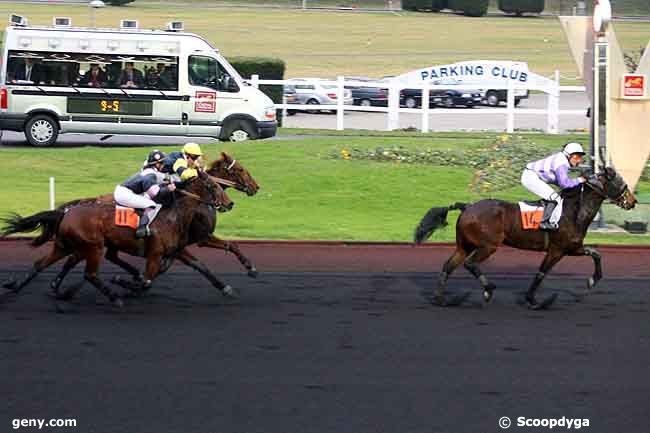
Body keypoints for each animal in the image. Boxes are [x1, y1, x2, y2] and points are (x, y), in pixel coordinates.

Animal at [0, 172, 230, 308]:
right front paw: (122, 282)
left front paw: (226, 288)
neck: (173, 215)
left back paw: (19, 286)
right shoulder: (155, 254)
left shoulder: (176, 250)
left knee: (41, 264)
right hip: (93, 247)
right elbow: (146, 281)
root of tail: (66, 212)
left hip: (64, 246)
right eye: (212, 186)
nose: (230, 203)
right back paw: (113, 297)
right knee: (90, 274)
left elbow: (200, 266)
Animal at [412, 167, 636, 308]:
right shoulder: (556, 250)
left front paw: (592, 280)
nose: (632, 201)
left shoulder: (572, 248)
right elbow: (541, 273)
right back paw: (488, 289)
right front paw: (534, 300)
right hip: (488, 246)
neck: (574, 211)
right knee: (470, 264)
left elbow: (596, 254)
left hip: (464, 245)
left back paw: (442, 299)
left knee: (448, 266)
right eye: (619, 181)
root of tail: (467, 207)